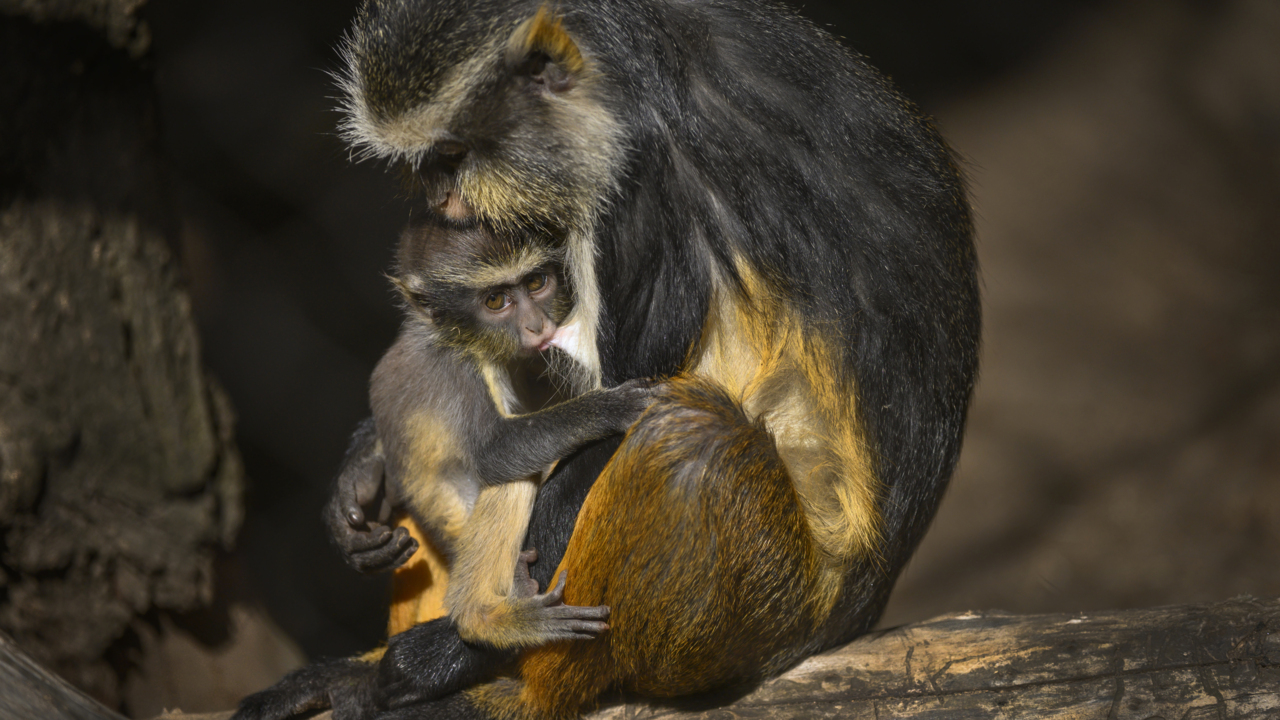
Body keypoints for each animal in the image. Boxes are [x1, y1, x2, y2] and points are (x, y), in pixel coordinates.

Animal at [234, 1, 981, 719]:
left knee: (690, 443)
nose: (442, 199)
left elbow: (609, 411)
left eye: (452, 152)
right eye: (427, 162)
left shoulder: (643, 186)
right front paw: (360, 476)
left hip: (758, 612)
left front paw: (453, 651)